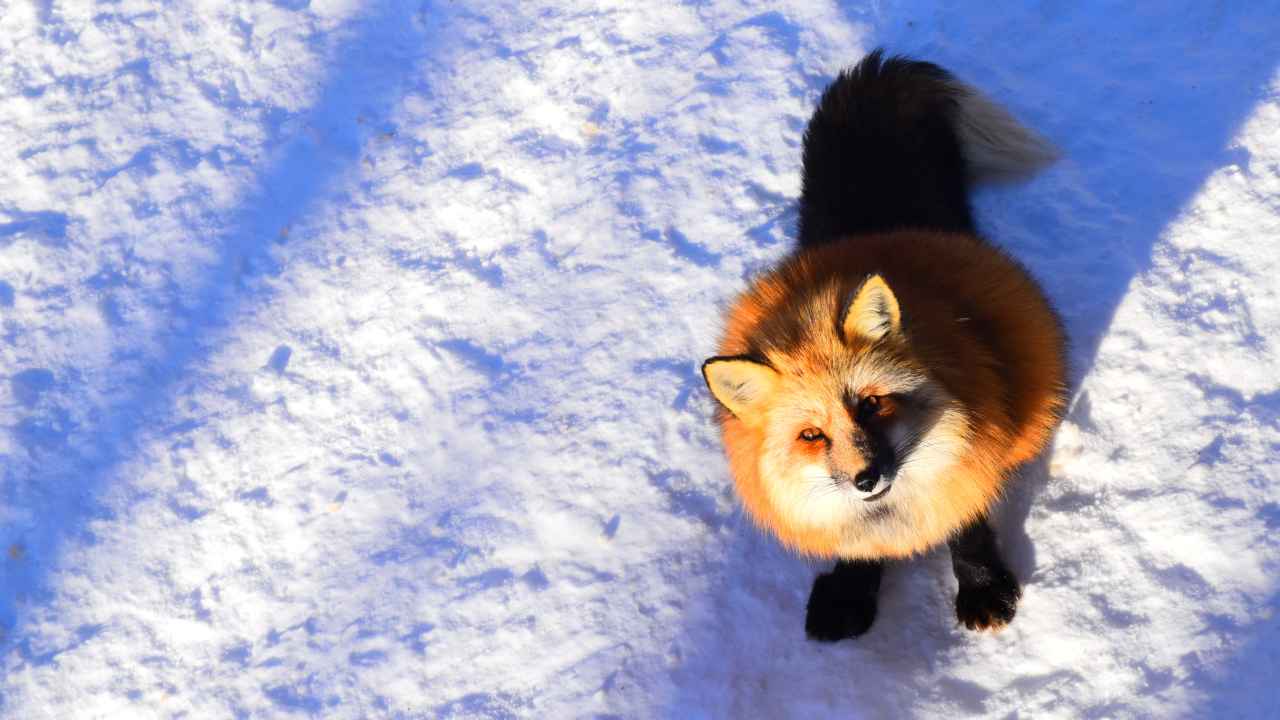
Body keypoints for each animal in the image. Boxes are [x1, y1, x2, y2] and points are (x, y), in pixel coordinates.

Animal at [706, 49, 1064, 632]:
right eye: (811, 435)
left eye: (871, 404)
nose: (866, 479)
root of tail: (872, 229)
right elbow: (859, 549)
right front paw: (851, 594)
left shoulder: (975, 447)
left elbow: (966, 524)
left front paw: (983, 587)